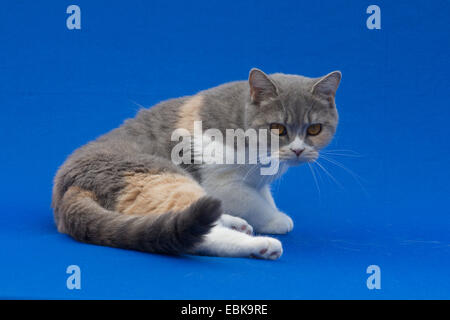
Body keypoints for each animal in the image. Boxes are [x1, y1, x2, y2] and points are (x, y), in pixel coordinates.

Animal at [51, 67, 342, 260]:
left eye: (314, 129)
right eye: (278, 129)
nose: (298, 150)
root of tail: (68, 185)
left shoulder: (256, 182)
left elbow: (263, 196)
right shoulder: (222, 183)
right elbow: (255, 203)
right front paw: (275, 219)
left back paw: (236, 223)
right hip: (166, 177)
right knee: (197, 236)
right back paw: (262, 245)